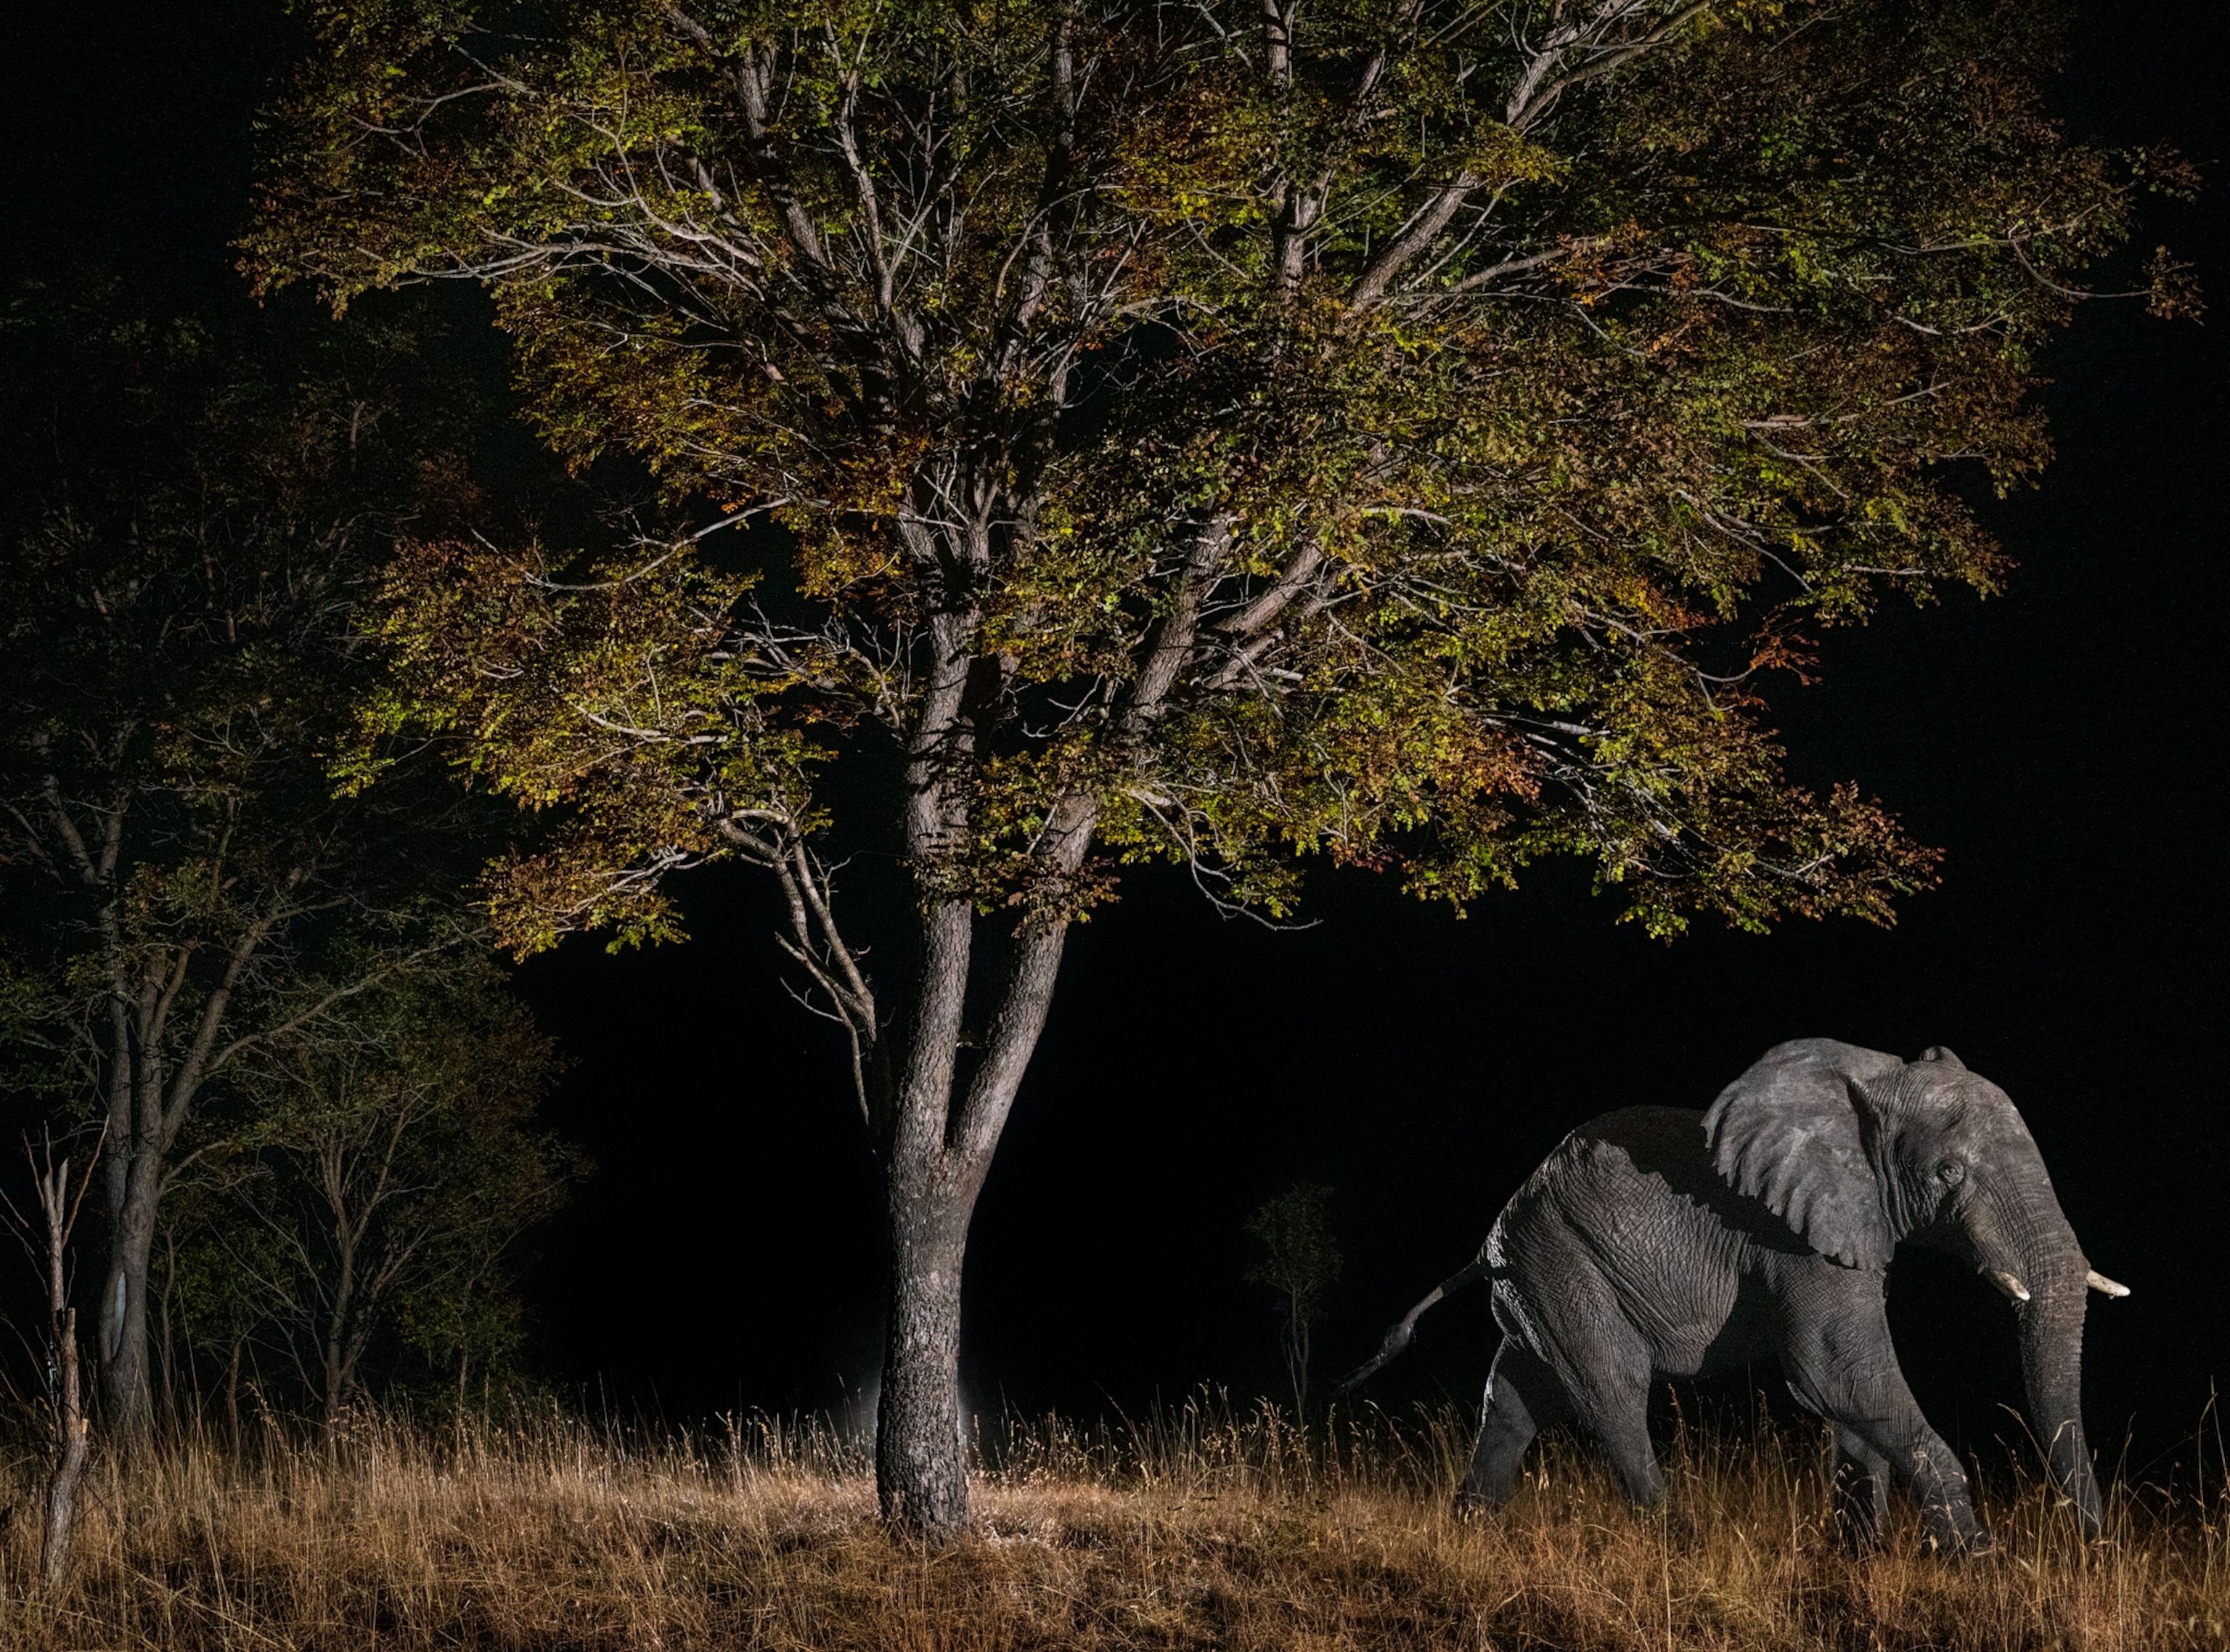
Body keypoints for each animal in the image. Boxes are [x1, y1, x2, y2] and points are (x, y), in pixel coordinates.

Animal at [1342, 1039, 2129, 1552]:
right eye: (1947, 1174)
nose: (2089, 1549)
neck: (1872, 1083)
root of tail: (1486, 1248)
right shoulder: (1791, 1233)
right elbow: (1835, 1371)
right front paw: (1979, 1561)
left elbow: (1853, 1394)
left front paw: (1856, 1561)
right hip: (1562, 1259)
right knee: (1611, 1389)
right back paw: (1678, 1545)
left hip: (1537, 1276)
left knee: (1512, 1399)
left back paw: (1470, 1537)